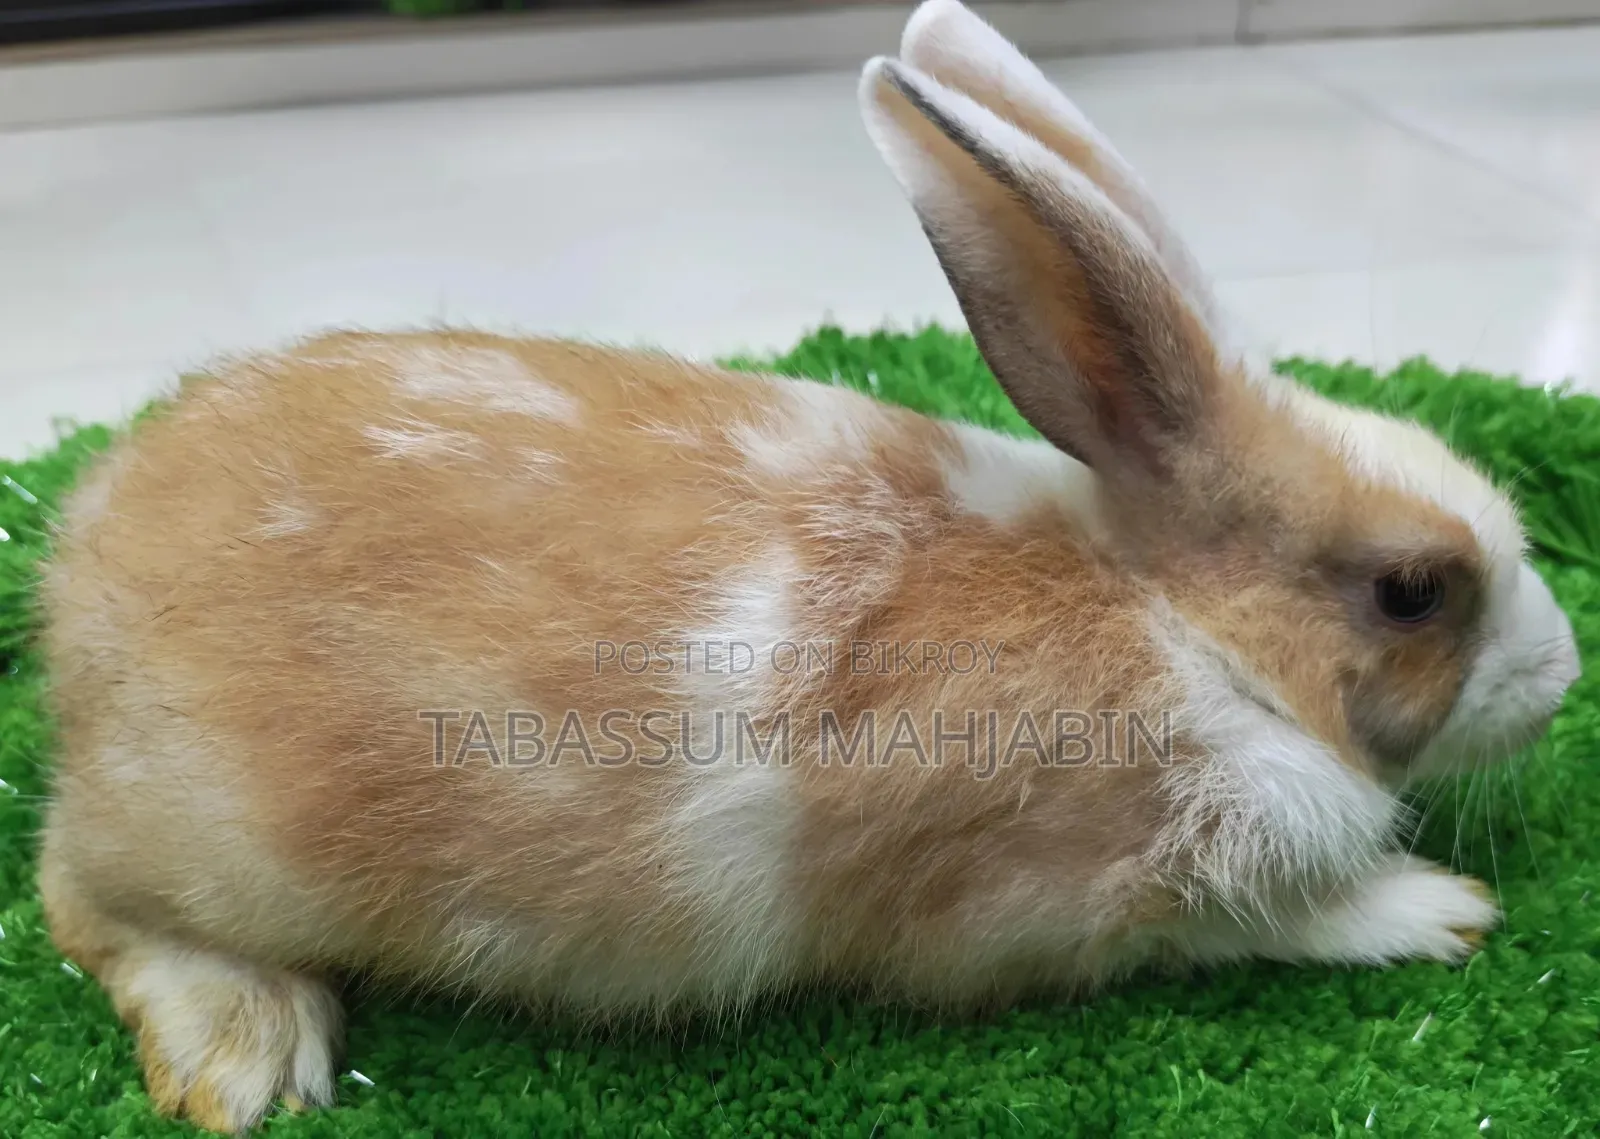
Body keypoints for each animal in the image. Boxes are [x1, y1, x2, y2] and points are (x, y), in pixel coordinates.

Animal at [36, 0, 1579, 1131]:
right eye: (1412, 589)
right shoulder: (1065, 906)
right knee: (81, 898)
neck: (1180, 624)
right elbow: (1271, 919)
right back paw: (249, 1055)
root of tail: (78, 561)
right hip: (209, 847)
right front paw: (1436, 909)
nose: (1562, 676)